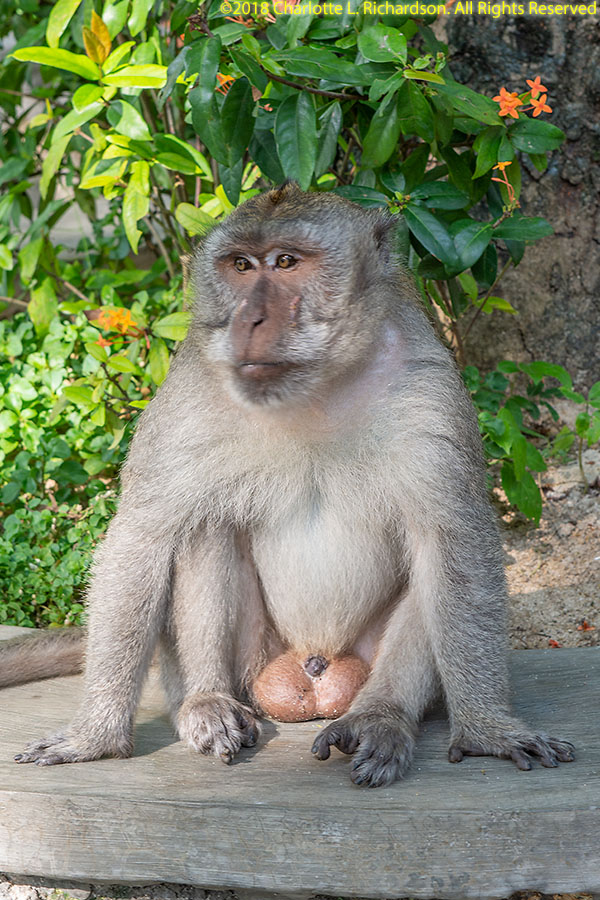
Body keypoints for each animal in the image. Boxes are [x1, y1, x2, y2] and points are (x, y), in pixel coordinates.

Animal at [3, 183, 574, 787]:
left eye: (286, 263)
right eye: (240, 265)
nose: (250, 318)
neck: (314, 393)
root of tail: (312, 668)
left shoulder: (431, 391)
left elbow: (456, 543)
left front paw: (488, 729)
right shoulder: (188, 393)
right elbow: (142, 539)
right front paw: (96, 737)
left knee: (432, 560)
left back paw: (380, 717)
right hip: (253, 662)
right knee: (205, 528)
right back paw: (206, 702)